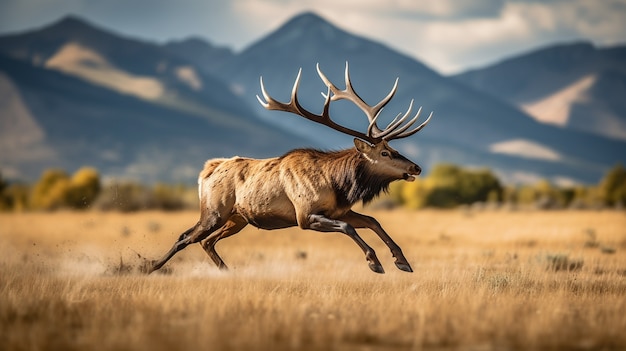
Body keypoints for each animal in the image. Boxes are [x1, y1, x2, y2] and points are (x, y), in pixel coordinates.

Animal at [146, 62, 428, 276]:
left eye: (393, 148)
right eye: (384, 152)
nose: (416, 167)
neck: (339, 184)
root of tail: (207, 170)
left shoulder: (341, 210)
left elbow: (372, 220)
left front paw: (402, 261)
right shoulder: (304, 216)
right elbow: (348, 228)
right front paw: (375, 262)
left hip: (237, 219)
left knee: (206, 241)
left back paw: (226, 271)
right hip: (214, 211)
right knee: (186, 237)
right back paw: (149, 267)